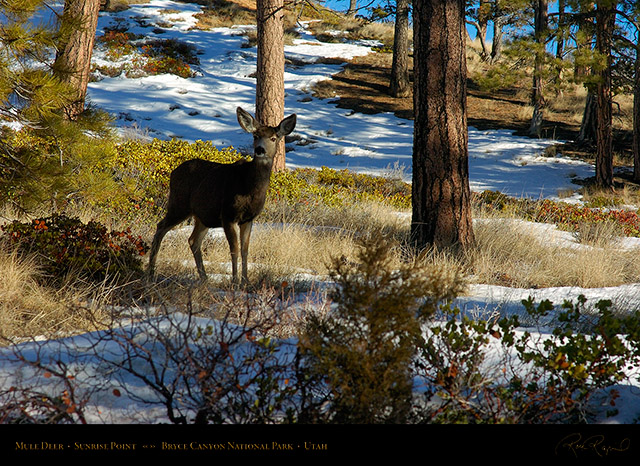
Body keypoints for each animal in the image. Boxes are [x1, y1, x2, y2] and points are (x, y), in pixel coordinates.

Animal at [149, 107, 298, 282]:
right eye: (255, 136)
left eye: (273, 138)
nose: (260, 150)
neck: (249, 189)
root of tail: (173, 172)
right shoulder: (227, 214)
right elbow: (234, 249)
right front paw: (235, 281)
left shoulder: (248, 219)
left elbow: (245, 249)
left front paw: (245, 280)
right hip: (179, 204)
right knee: (161, 227)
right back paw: (151, 272)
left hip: (203, 216)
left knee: (193, 240)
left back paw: (204, 278)